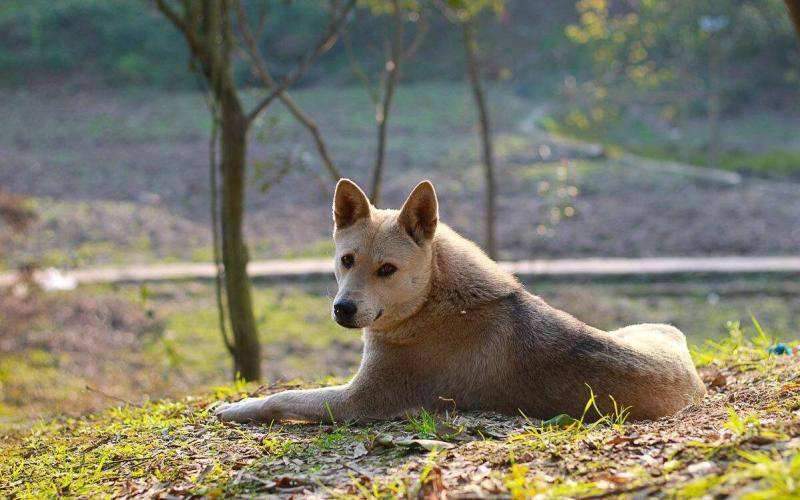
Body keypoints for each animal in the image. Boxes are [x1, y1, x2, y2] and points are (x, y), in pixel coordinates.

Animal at [214, 180, 708, 422]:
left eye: (387, 270)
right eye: (346, 260)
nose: (343, 309)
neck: (433, 300)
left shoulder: (359, 402)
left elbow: (281, 398)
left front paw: (234, 409)